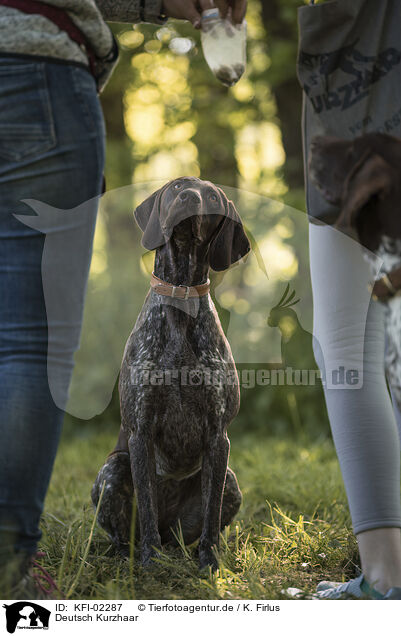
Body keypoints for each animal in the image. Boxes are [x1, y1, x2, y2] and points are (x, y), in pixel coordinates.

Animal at [92, 176, 248, 568]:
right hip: (112, 470)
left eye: (212, 197)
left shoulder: (218, 436)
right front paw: (150, 562)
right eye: (178, 186)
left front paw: (209, 561)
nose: (189, 199)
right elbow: (146, 507)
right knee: (125, 533)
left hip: (231, 482)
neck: (181, 295)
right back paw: (128, 555)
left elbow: (211, 513)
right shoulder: (141, 431)